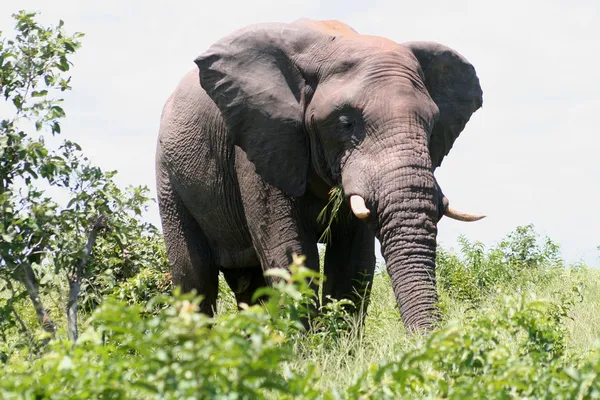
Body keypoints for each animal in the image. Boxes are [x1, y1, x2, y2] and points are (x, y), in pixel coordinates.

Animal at [155, 18, 482, 332]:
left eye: (432, 124)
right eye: (346, 123)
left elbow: (352, 261)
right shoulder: (262, 142)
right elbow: (290, 253)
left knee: (249, 284)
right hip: (169, 176)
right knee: (195, 279)